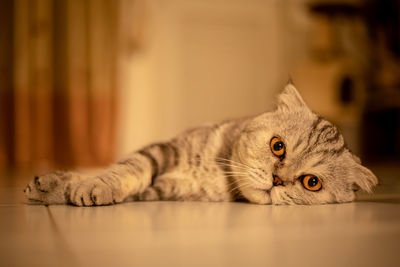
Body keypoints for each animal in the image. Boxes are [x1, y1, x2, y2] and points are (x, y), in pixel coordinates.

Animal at [24, 85, 378, 206]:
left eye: (311, 182)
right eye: (278, 147)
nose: (278, 180)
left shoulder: (165, 191)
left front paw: (62, 189)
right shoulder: (161, 151)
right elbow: (126, 170)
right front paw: (84, 186)